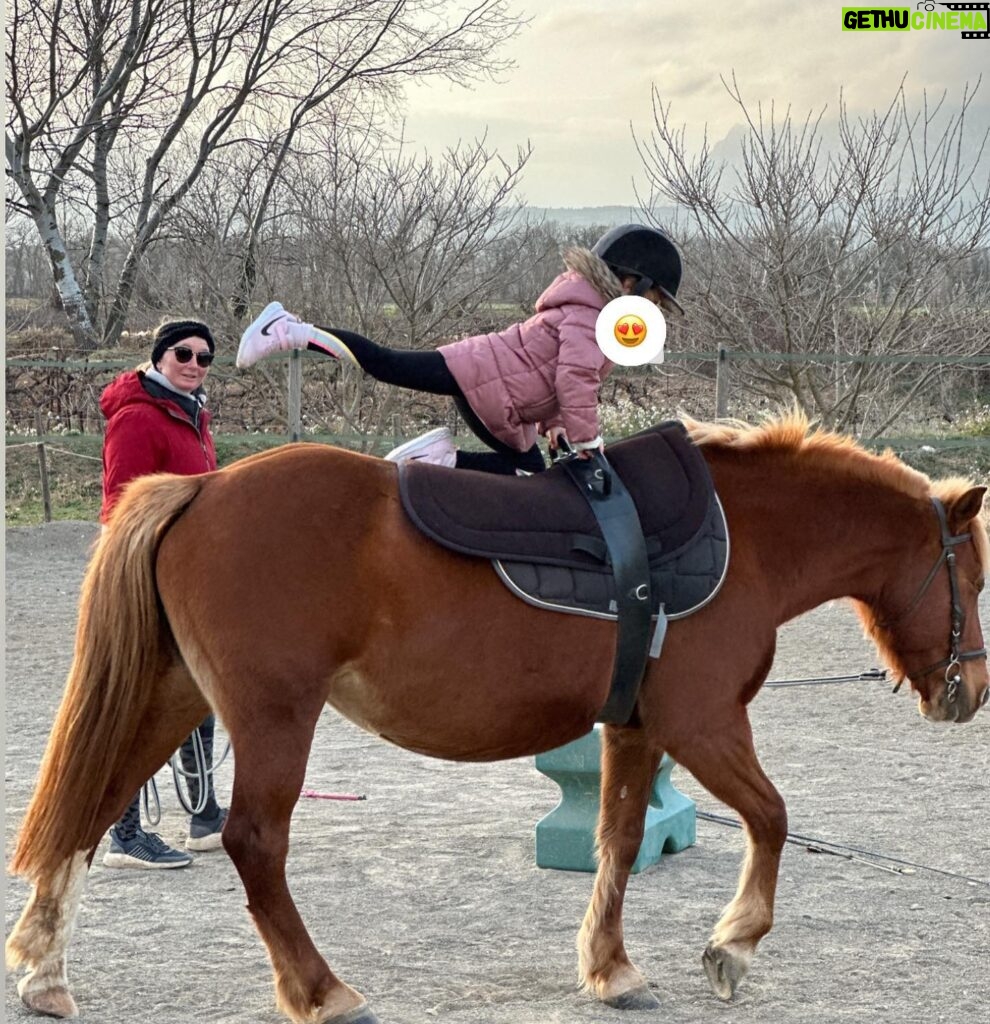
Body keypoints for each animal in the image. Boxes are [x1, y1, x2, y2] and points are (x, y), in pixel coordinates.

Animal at [7, 411, 990, 1019]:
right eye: (974, 577)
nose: (969, 692)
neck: (741, 537)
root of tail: (203, 488)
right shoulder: (706, 724)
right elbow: (774, 818)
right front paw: (733, 946)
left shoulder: (635, 729)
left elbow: (618, 843)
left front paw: (610, 968)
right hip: (273, 715)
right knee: (254, 843)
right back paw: (322, 991)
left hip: (172, 699)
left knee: (92, 810)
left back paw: (47, 973)